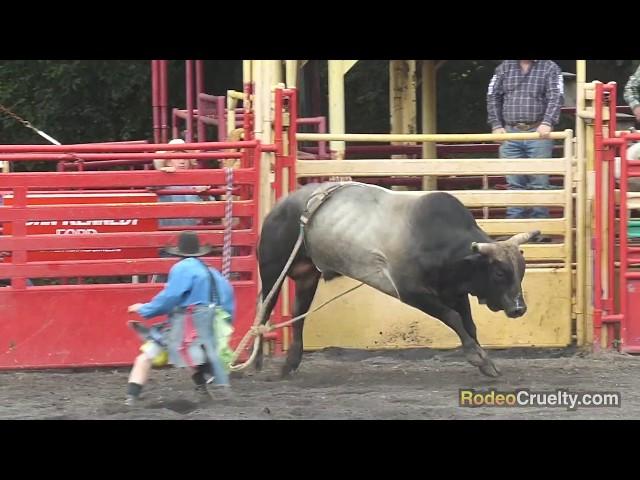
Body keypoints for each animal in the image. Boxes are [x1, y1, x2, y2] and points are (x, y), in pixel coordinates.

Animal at [254, 182, 540, 376]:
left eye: (522, 270)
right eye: (499, 272)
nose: (519, 308)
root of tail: (280, 205)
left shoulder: (454, 290)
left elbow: (468, 325)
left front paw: (486, 361)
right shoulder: (411, 291)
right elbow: (453, 318)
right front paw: (476, 356)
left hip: (306, 276)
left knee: (298, 315)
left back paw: (291, 363)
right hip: (273, 267)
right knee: (264, 309)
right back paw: (255, 362)